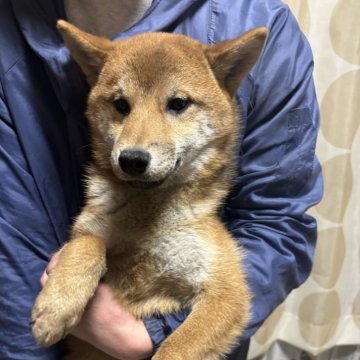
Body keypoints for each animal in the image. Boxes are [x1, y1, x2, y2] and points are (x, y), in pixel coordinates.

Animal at [31, 20, 268, 360]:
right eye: (121, 104)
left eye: (178, 103)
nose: (131, 159)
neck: (146, 215)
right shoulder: (85, 230)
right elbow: (88, 244)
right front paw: (57, 306)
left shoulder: (225, 290)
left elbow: (176, 349)